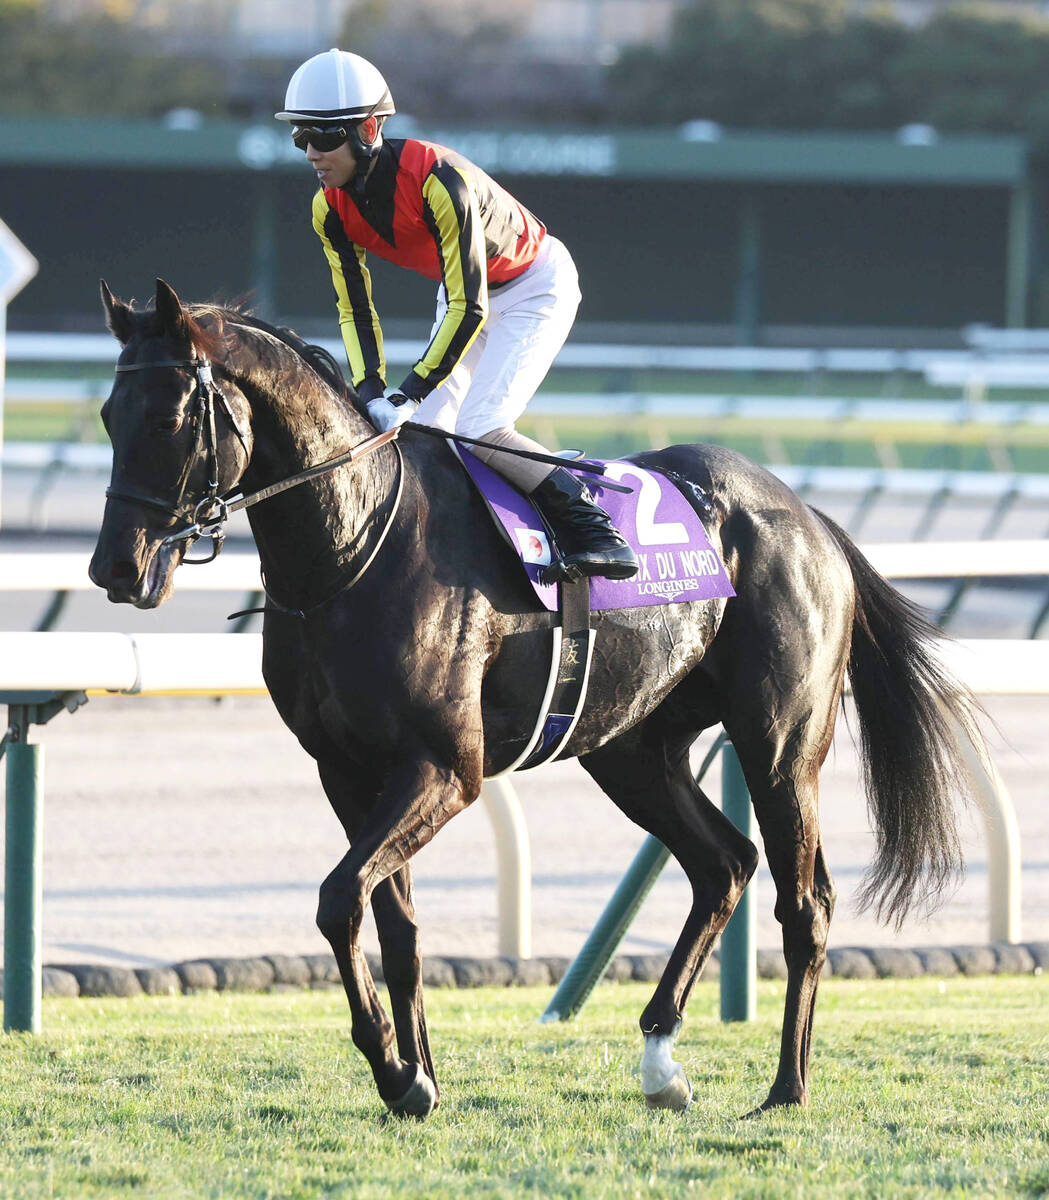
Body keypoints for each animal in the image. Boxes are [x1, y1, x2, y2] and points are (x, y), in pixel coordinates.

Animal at [90, 279, 981, 1119]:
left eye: (169, 416)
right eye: (106, 414)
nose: (114, 569)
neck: (356, 544)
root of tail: (807, 516)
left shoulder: (446, 767)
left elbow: (340, 898)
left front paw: (393, 1069)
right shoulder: (345, 769)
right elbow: (394, 925)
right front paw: (418, 1078)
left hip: (779, 744)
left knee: (805, 902)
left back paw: (786, 1088)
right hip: (630, 749)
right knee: (723, 862)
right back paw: (659, 1060)